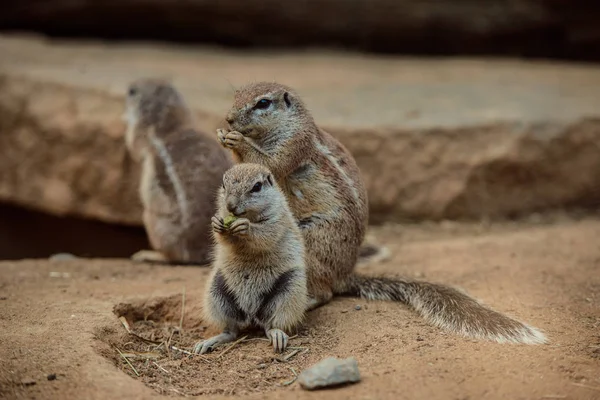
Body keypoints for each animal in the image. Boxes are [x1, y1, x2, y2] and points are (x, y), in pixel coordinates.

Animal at [124, 78, 232, 266]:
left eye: (133, 91)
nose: (128, 87)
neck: (174, 128)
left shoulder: (143, 138)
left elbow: (134, 146)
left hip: (154, 221)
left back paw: (149, 255)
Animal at [196, 162, 310, 354]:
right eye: (223, 184)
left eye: (257, 187)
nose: (230, 206)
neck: (248, 216)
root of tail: (251, 315)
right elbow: (223, 238)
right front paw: (217, 223)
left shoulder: (277, 219)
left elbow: (266, 235)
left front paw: (246, 227)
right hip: (216, 292)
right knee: (231, 331)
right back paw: (207, 343)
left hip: (290, 289)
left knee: (271, 325)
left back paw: (277, 336)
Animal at [217, 81, 548, 344]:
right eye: (235, 95)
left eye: (263, 103)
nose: (229, 118)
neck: (285, 126)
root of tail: (345, 274)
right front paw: (226, 137)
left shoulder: (295, 145)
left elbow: (273, 164)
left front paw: (236, 140)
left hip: (310, 244)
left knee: (326, 293)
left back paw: (308, 301)